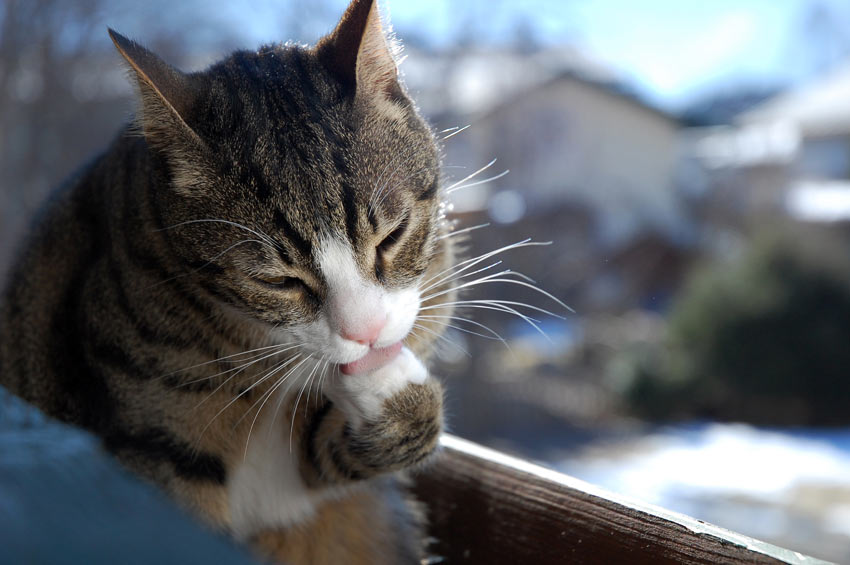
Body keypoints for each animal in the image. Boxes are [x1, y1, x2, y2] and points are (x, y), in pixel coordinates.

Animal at [0, 2, 458, 560]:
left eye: (392, 236)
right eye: (277, 281)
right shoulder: (157, 444)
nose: (366, 335)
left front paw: (388, 387)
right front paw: (385, 378)